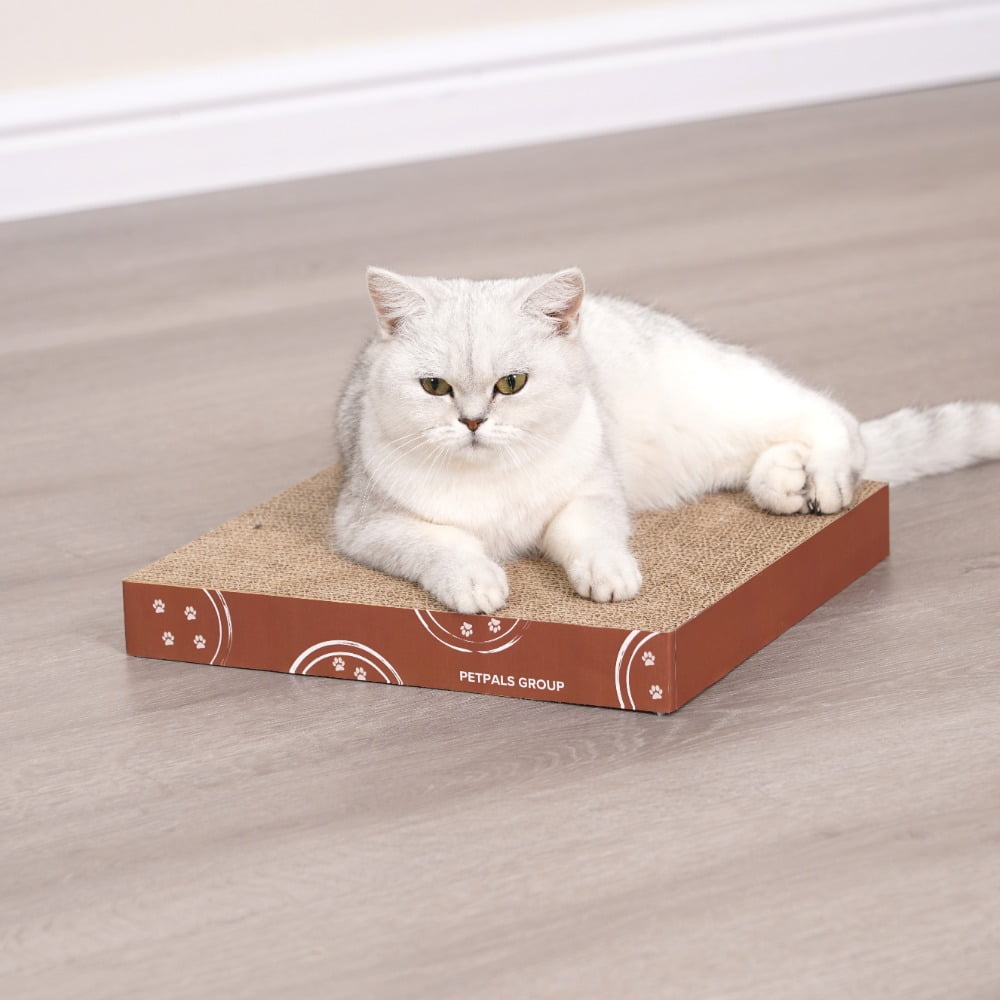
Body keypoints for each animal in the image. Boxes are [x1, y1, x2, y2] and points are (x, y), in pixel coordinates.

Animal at [332, 267, 1000, 614]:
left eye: (511, 383)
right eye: (435, 387)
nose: (472, 422)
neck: (492, 476)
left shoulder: (590, 492)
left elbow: (591, 535)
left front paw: (608, 575)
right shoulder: (367, 525)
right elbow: (440, 545)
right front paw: (476, 580)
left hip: (725, 404)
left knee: (832, 415)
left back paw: (825, 478)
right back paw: (786, 479)